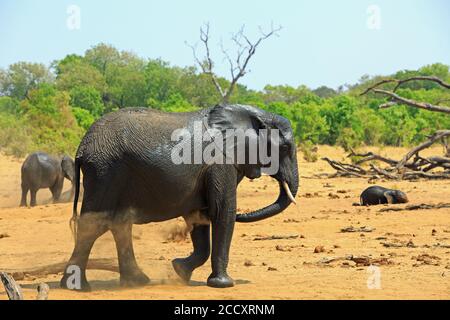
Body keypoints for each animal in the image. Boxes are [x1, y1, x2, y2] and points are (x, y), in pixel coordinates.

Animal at [59, 104, 298, 290]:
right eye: (285, 148)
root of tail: (81, 149)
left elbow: (200, 218)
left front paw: (179, 270)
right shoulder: (220, 163)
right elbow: (222, 212)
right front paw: (223, 284)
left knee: (119, 224)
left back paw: (137, 282)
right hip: (104, 171)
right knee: (93, 224)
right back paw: (78, 287)